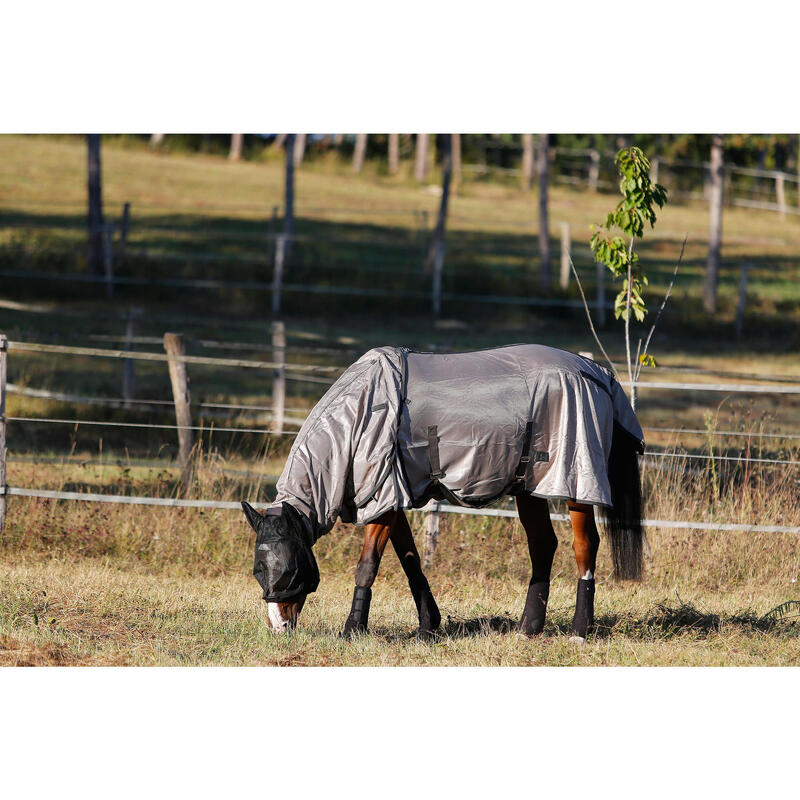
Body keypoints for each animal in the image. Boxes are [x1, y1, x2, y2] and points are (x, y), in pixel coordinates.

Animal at [242, 344, 644, 644]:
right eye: (258, 569)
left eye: (288, 568)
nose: (278, 628)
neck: (360, 413)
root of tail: (597, 374)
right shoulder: (392, 499)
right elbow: (410, 560)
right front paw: (427, 625)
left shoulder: (383, 500)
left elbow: (368, 565)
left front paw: (352, 630)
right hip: (529, 487)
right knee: (543, 545)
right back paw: (527, 629)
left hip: (575, 481)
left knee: (585, 546)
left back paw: (579, 631)